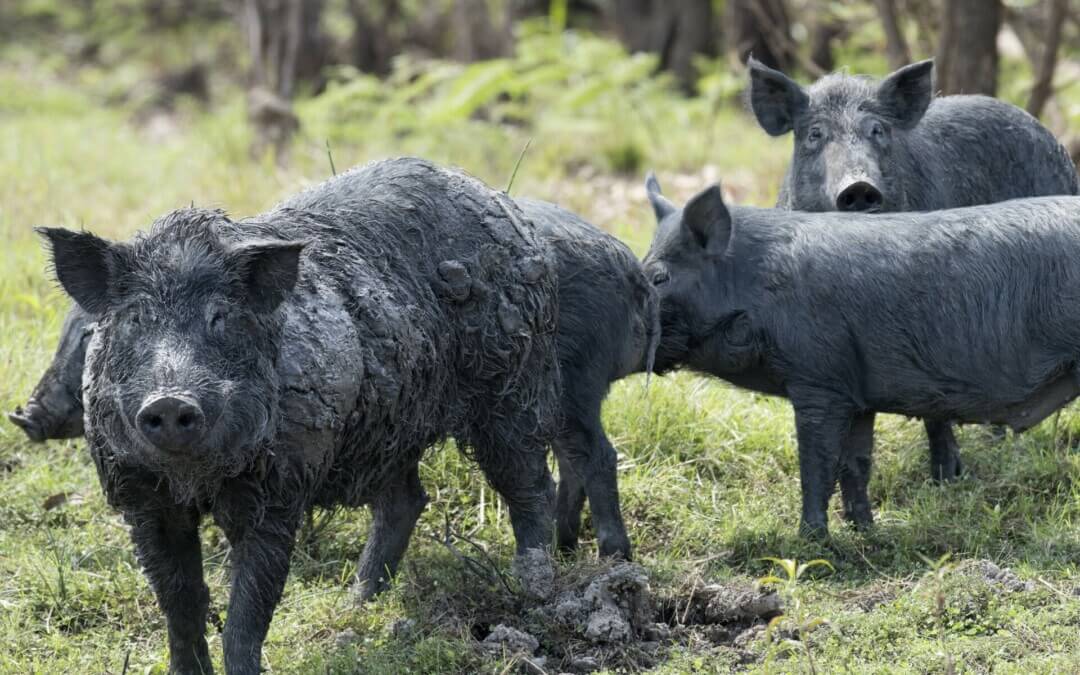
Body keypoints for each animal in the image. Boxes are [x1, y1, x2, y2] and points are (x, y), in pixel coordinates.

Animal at [39, 157, 563, 675]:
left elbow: (247, 614)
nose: (170, 401)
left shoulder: (279, 492)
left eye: (221, 318)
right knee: (407, 500)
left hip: (510, 384)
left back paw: (535, 589)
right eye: (135, 319)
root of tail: (503, 205)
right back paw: (358, 603)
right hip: (390, 427)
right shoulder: (141, 498)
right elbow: (180, 604)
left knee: (530, 482)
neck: (196, 482)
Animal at [643, 175, 1080, 537]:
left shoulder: (818, 380)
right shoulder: (858, 395)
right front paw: (865, 532)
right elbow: (855, 464)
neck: (755, 288)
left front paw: (811, 541)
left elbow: (816, 464)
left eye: (659, 277)